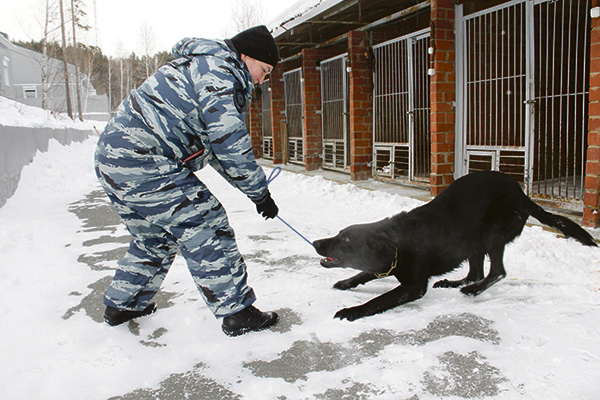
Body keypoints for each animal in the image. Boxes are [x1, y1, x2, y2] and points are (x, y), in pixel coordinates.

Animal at [314, 170, 596, 320]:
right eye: (340, 234)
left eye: (346, 240)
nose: (316, 242)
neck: (398, 242)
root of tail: (522, 194)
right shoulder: (384, 265)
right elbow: (363, 273)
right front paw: (347, 283)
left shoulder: (414, 286)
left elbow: (378, 300)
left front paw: (352, 311)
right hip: (471, 241)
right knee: (476, 271)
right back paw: (454, 282)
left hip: (491, 234)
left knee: (496, 272)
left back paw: (473, 290)